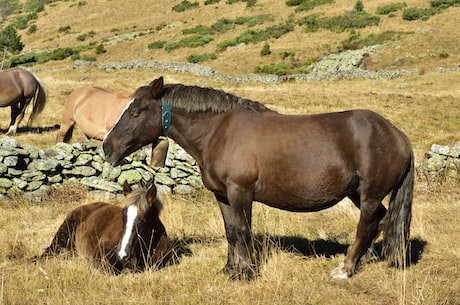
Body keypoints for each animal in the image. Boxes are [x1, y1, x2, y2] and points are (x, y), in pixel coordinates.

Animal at [103, 76, 414, 280]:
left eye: (135, 111)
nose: (107, 147)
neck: (218, 131)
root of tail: (398, 135)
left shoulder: (241, 192)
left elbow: (243, 231)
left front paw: (247, 272)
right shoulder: (223, 195)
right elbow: (231, 232)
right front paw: (229, 270)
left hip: (369, 194)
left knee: (366, 224)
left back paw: (346, 268)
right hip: (357, 193)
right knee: (380, 220)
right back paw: (365, 258)